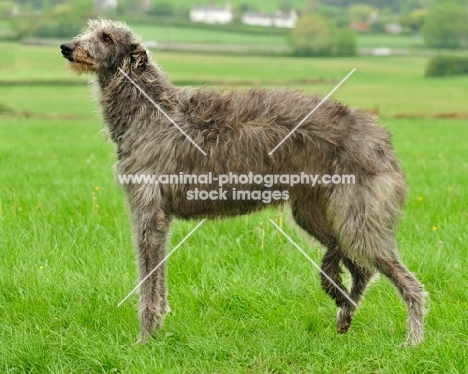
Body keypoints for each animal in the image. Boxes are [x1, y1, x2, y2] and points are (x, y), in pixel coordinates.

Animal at [60, 17, 426, 344]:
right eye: (89, 31)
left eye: (106, 37)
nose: (66, 47)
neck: (148, 108)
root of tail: (379, 135)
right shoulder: (158, 217)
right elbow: (157, 277)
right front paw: (157, 330)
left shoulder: (149, 211)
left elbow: (149, 279)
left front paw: (145, 339)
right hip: (316, 214)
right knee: (362, 269)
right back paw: (345, 316)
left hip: (357, 218)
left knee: (407, 282)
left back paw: (413, 341)